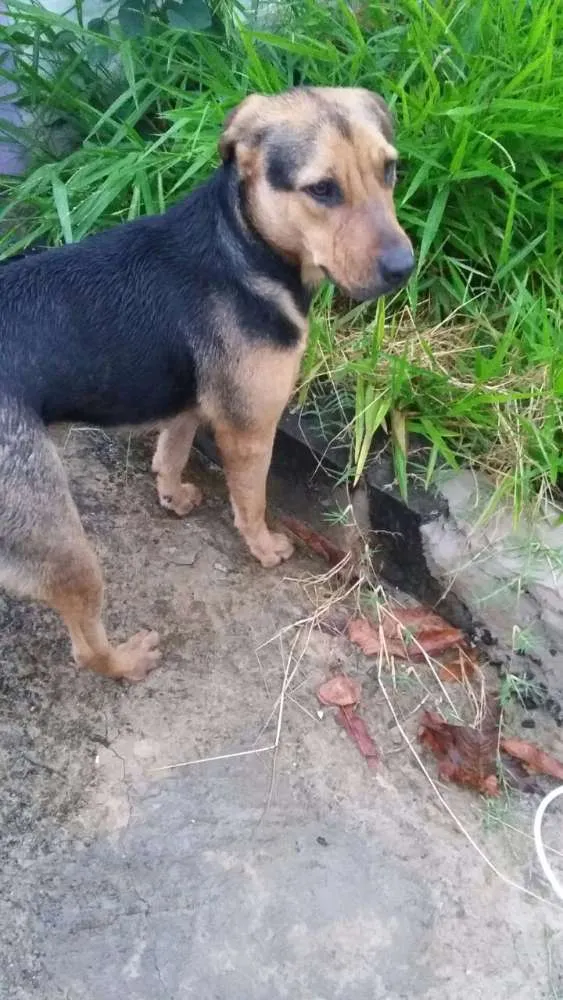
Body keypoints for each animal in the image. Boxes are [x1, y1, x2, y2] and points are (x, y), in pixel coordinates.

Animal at [0, 88, 414, 680]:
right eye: (322, 189)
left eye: (389, 170)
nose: (406, 266)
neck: (245, 245)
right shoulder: (250, 429)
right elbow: (252, 500)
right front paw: (264, 547)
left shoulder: (192, 403)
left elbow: (171, 452)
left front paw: (172, 495)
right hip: (60, 540)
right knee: (85, 648)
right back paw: (128, 660)